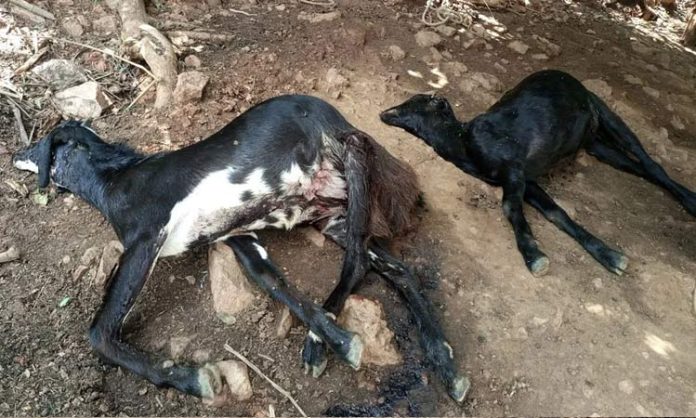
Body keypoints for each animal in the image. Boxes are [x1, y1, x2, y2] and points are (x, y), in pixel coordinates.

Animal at [12, 94, 468, 402]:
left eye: (43, 143)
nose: (16, 152)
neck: (115, 180)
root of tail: (338, 118)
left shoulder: (147, 238)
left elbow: (101, 332)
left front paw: (193, 379)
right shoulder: (239, 237)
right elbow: (278, 286)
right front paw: (337, 338)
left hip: (352, 161)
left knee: (356, 261)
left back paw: (319, 346)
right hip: (328, 215)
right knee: (396, 269)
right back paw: (444, 362)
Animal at [380, 70, 696, 276]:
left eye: (424, 99)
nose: (440, 96)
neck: (461, 141)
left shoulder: (514, 170)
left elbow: (510, 206)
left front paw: (533, 256)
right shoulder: (527, 181)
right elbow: (556, 212)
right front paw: (609, 255)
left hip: (607, 113)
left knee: (651, 164)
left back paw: (690, 200)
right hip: (595, 144)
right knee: (639, 168)